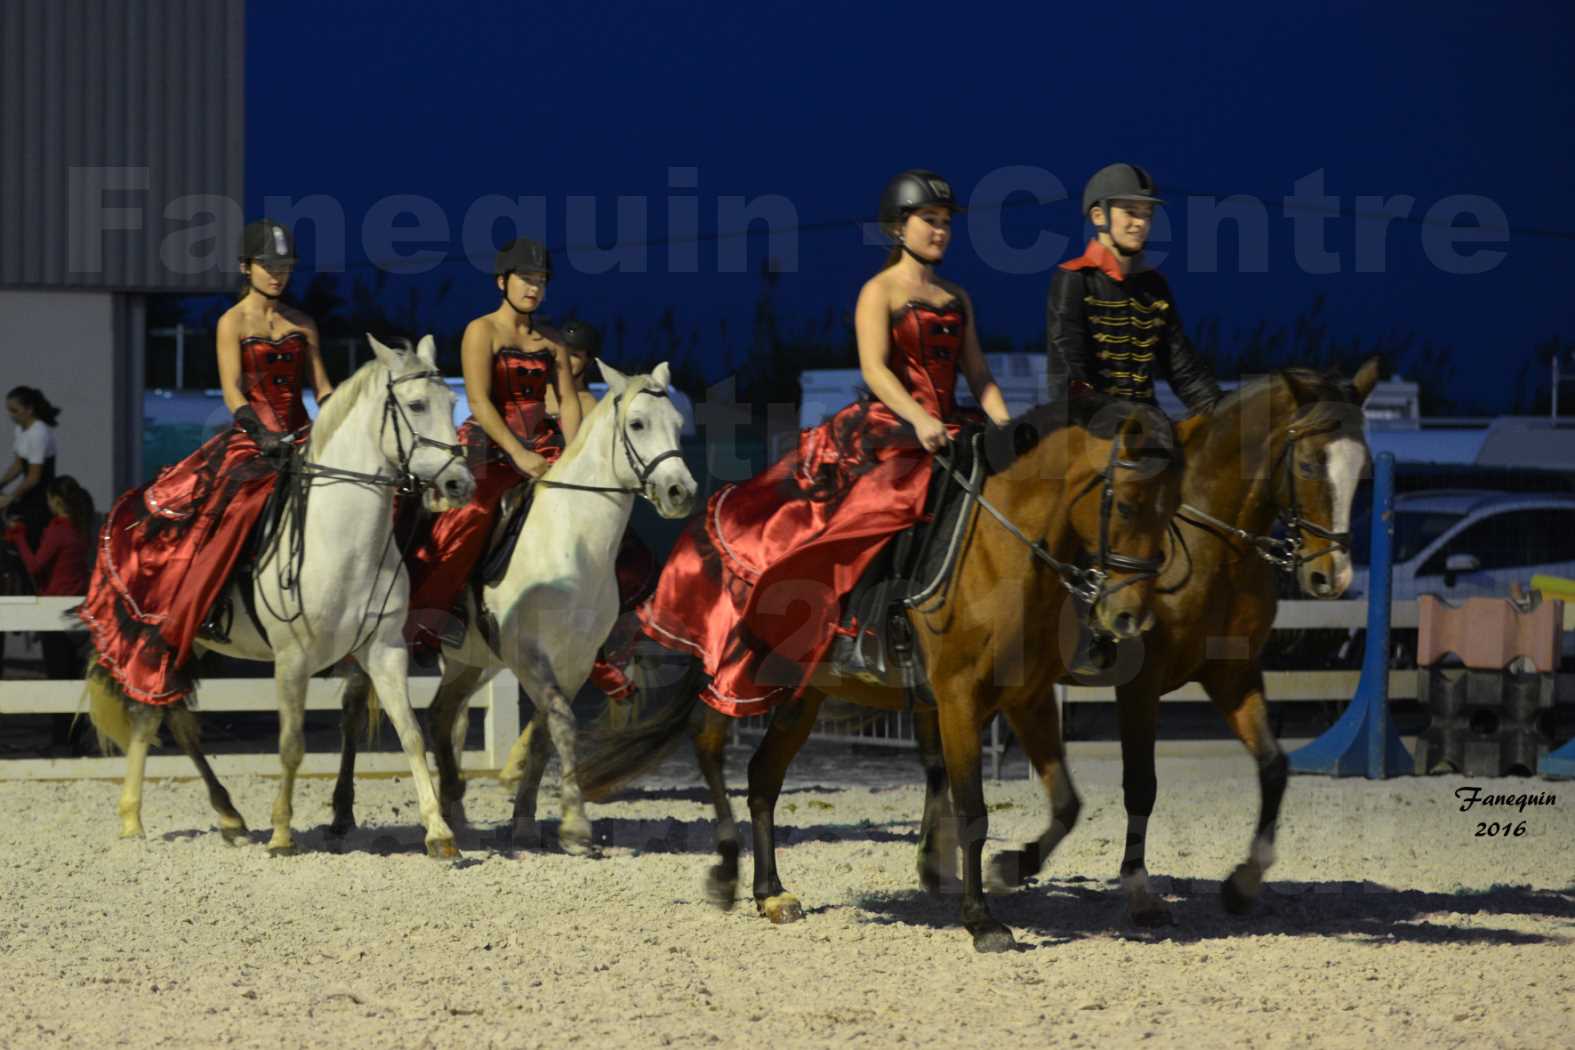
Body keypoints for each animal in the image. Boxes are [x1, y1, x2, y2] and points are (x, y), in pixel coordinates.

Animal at [86, 341, 475, 856]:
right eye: (415, 406)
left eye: (451, 404)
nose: (460, 484)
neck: (342, 539)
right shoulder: (292, 658)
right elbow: (291, 745)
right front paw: (282, 834)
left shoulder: (385, 650)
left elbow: (410, 734)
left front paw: (439, 832)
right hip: (162, 637)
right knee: (150, 715)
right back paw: (133, 820)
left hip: (192, 645)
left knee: (179, 721)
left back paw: (229, 816)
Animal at [576, 399, 1184, 950]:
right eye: (1128, 506)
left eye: (1173, 506)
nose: (1129, 617)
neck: (1003, 548)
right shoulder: (958, 700)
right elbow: (972, 810)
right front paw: (982, 922)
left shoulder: (1026, 698)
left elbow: (1066, 804)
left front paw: (1012, 869)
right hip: (739, 670)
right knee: (708, 743)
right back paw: (728, 874)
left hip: (803, 696)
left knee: (762, 777)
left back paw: (771, 893)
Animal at [913, 358, 1379, 919]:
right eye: (1309, 465)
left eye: (1364, 470)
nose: (1332, 577)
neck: (1211, 544)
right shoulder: (1140, 683)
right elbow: (1141, 784)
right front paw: (1137, 889)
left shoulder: (1233, 674)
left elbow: (1274, 767)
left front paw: (1244, 881)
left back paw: (934, 862)